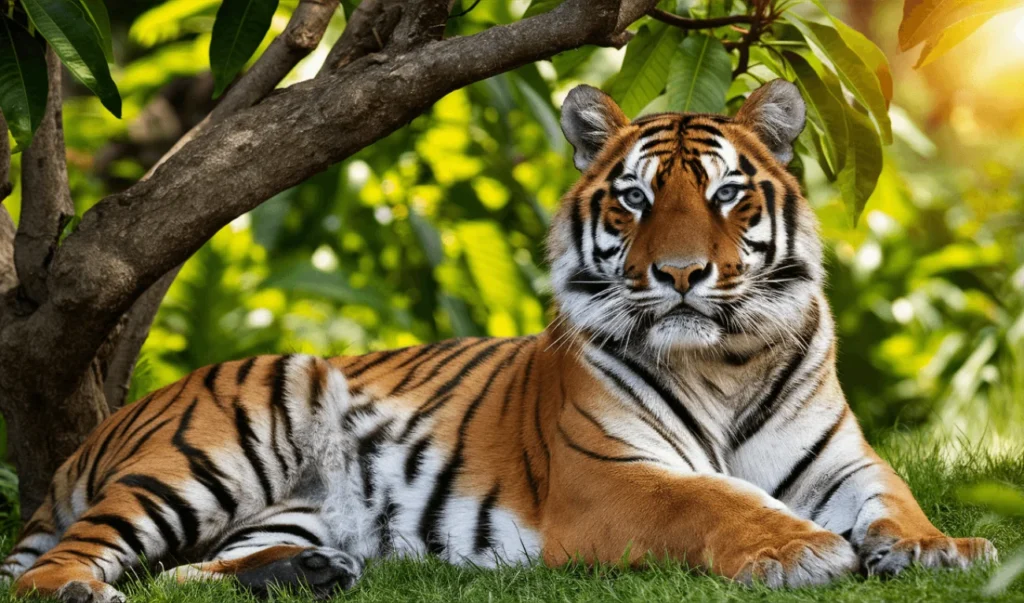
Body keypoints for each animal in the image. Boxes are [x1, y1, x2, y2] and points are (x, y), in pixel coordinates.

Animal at [0, 79, 991, 601]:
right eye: (635, 199)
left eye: (724, 195)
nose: (679, 274)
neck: (727, 358)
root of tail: (96, 433)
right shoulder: (611, 479)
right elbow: (712, 499)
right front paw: (802, 548)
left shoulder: (845, 460)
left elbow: (895, 497)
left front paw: (939, 548)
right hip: (209, 453)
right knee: (62, 561)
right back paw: (80, 584)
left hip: (284, 505)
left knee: (184, 572)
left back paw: (308, 572)